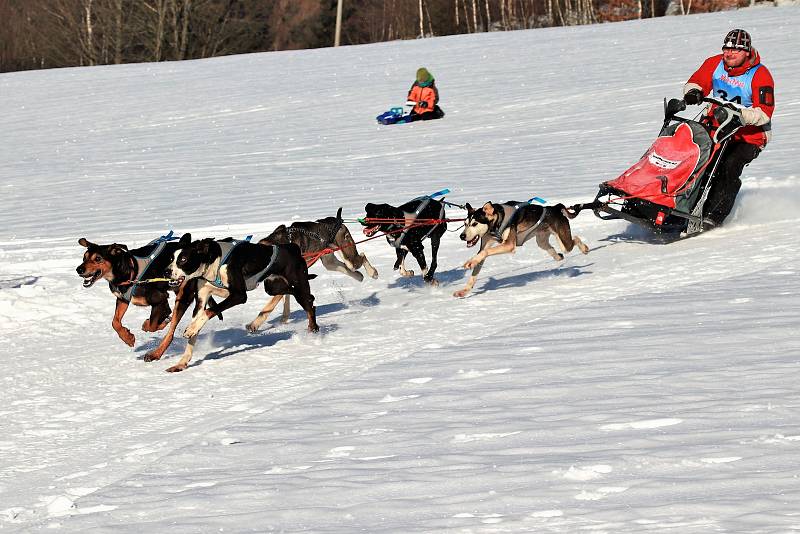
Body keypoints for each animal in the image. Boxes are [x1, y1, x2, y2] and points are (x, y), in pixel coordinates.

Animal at [166, 239, 318, 372]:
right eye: (171, 258)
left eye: (183, 259)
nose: (166, 271)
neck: (214, 262)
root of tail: (292, 247)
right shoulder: (202, 299)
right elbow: (197, 325)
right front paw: (182, 362)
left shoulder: (239, 295)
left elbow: (210, 311)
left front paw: (191, 329)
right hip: (273, 287)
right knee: (301, 296)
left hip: (297, 285)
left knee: (309, 303)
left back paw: (313, 329)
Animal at [454, 203, 592, 300]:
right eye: (465, 224)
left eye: (475, 224)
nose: (462, 236)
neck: (497, 221)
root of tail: (554, 207)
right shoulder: (485, 245)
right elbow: (476, 267)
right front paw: (464, 290)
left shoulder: (509, 245)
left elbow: (485, 253)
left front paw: (470, 263)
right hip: (542, 241)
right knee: (554, 250)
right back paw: (558, 256)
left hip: (564, 242)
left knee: (575, 239)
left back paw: (584, 248)